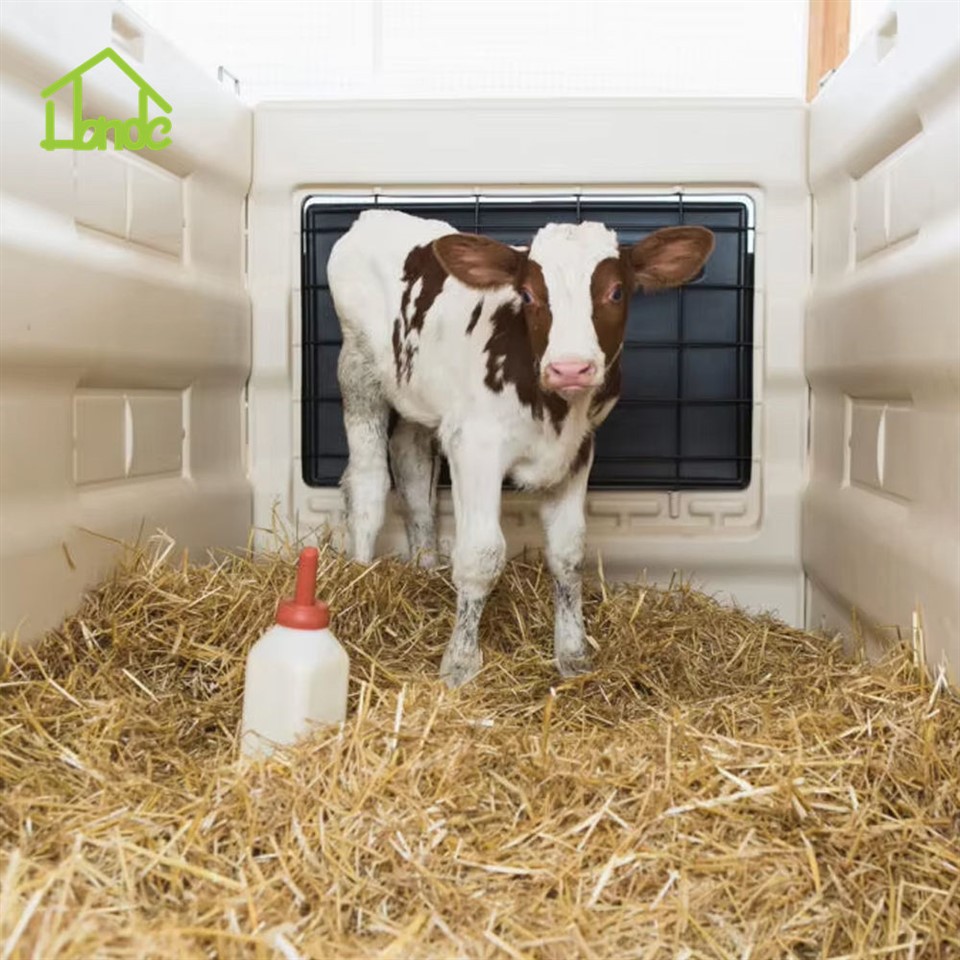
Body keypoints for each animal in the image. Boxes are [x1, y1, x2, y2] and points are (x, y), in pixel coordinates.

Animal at [327, 209, 714, 687]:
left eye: (617, 291)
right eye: (528, 294)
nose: (570, 367)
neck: (555, 411)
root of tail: (375, 214)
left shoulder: (578, 450)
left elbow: (567, 553)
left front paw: (573, 655)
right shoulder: (475, 446)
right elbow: (481, 554)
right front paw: (459, 665)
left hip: (419, 396)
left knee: (412, 468)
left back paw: (426, 568)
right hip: (357, 368)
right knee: (367, 481)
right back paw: (358, 578)